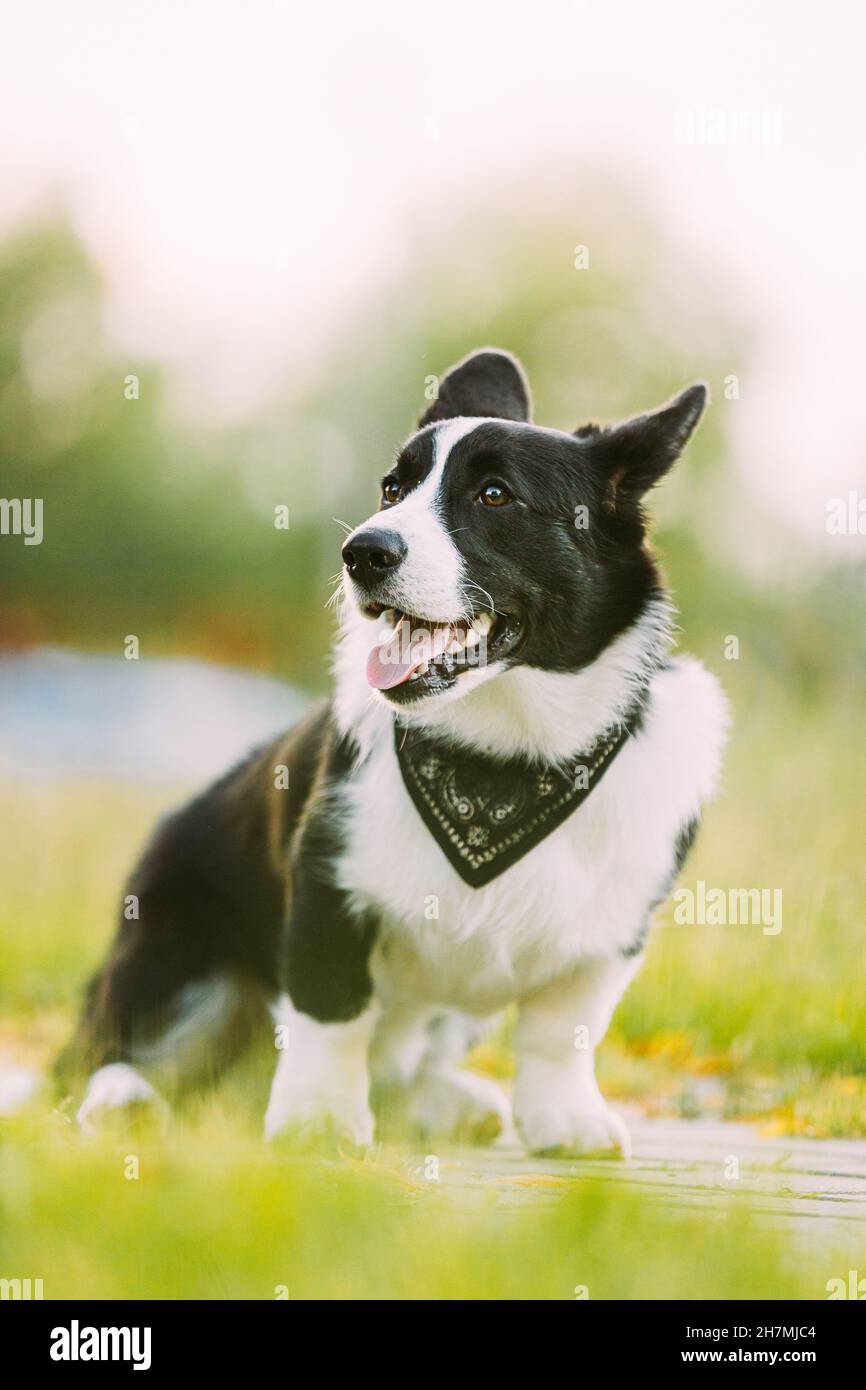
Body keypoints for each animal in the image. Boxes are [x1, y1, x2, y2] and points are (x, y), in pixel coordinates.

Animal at [64, 350, 733, 1162]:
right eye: (392, 489)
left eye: (495, 494)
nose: (361, 553)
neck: (506, 756)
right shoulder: (327, 885)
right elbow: (331, 1015)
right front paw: (319, 1122)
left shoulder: (608, 935)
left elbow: (560, 1034)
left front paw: (565, 1123)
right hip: (172, 957)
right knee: (112, 1052)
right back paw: (124, 1102)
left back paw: (445, 1103)